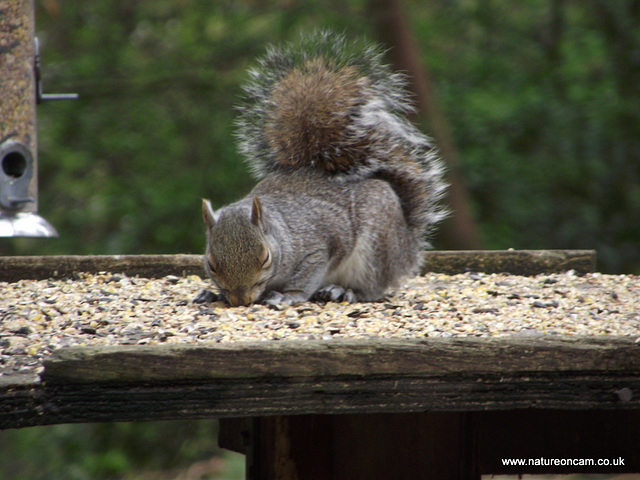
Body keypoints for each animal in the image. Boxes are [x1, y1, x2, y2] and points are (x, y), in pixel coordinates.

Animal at [200, 31, 444, 308]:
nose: (241, 300)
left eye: (265, 258)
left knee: (372, 287)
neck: (281, 231)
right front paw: (214, 293)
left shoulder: (318, 247)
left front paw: (289, 296)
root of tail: (407, 248)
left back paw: (344, 291)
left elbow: (307, 276)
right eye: (211, 264)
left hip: (375, 249)